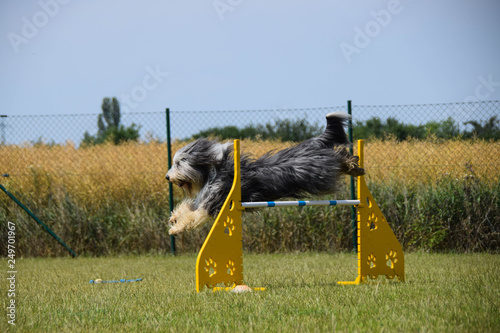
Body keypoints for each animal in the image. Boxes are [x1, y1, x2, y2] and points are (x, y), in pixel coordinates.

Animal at [166, 113, 366, 235]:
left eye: (179, 163)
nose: (167, 177)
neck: (212, 175)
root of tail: (313, 144)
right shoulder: (204, 200)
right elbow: (188, 207)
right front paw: (174, 217)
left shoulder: (213, 203)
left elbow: (194, 216)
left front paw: (175, 229)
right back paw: (354, 166)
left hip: (320, 175)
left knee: (339, 156)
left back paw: (353, 165)